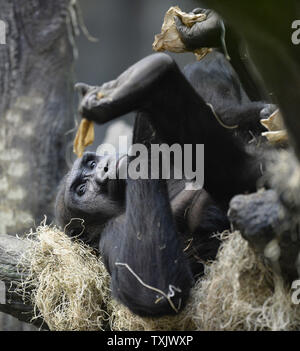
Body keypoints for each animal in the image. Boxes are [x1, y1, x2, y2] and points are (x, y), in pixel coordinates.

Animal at [55, 50, 276, 320]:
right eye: (82, 189)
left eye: (91, 163)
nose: (104, 168)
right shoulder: (112, 232)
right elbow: (154, 292)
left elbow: (214, 105)